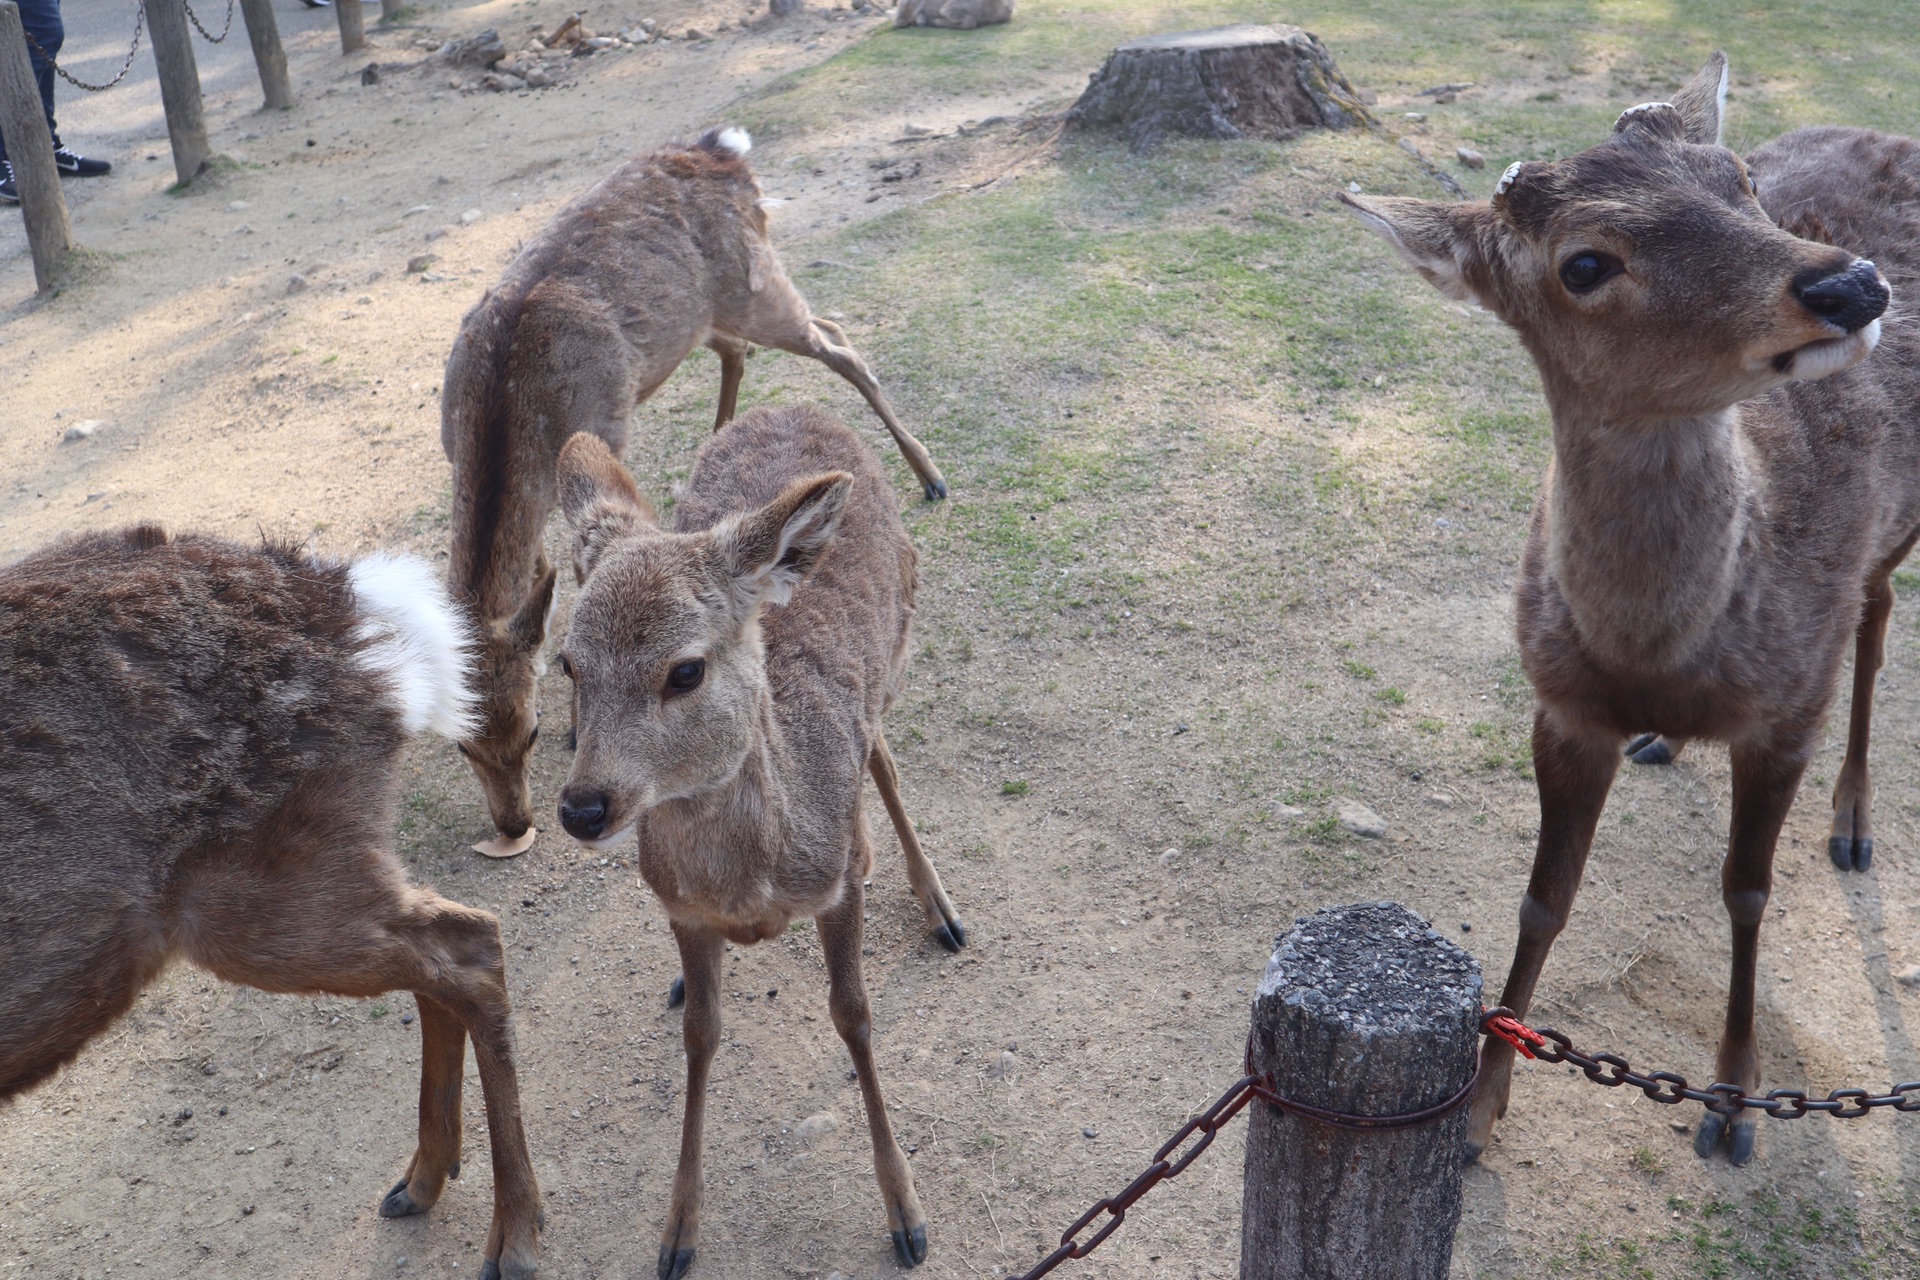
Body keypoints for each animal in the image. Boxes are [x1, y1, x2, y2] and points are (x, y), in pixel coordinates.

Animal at [437, 127, 944, 852]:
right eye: (462, 746)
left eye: (531, 733)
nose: (514, 825)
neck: (508, 412)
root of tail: (724, 150)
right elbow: (539, 566)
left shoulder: (607, 426)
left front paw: (578, 726)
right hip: (715, 314)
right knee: (742, 349)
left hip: (758, 288)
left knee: (838, 339)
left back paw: (930, 475)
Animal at [549, 408, 967, 1280]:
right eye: (568, 662)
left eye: (684, 671)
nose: (583, 807)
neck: (752, 888)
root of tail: (801, 407)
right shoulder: (679, 909)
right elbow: (701, 1036)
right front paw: (678, 1231)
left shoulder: (836, 883)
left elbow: (854, 1016)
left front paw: (907, 1215)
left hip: (898, 646)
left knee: (885, 756)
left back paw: (938, 905)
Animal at [1344, 50, 1912, 1166]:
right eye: (1584, 265)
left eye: (1739, 177)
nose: (1853, 282)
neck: (1659, 654)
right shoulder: (1562, 705)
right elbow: (1542, 899)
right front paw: (1481, 1103)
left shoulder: (1789, 708)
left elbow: (1747, 890)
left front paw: (1732, 1102)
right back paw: (1671, 744)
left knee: (1875, 616)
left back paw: (1854, 821)